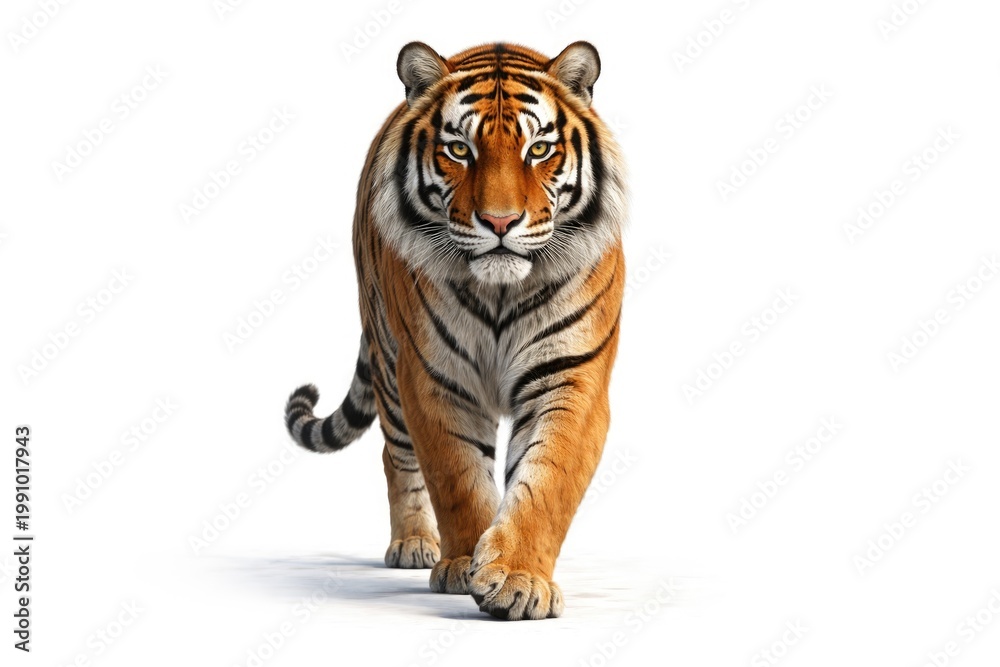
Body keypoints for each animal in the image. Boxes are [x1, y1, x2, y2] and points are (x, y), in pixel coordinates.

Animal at [284, 41, 627, 620]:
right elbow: (457, 477)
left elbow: (546, 482)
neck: (501, 291)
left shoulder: (569, 376)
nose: (500, 222)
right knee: (396, 455)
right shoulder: (433, 377)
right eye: (460, 150)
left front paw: (518, 579)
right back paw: (415, 544)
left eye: (538, 149)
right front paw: (462, 564)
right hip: (387, 356)